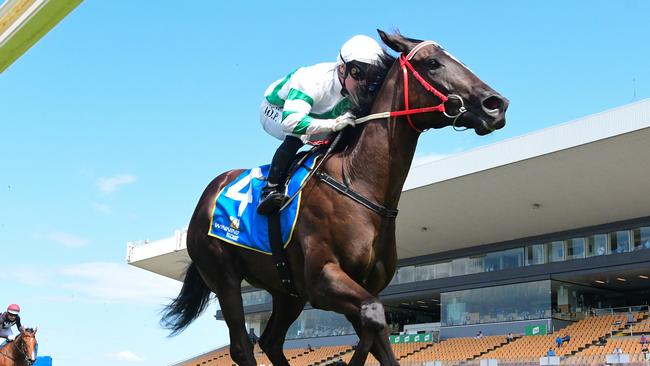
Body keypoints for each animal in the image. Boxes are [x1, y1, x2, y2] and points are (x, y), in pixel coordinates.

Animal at [161, 29, 506, 366]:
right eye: (433, 63)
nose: (496, 104)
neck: (358, 182)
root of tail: (207, 197)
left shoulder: (360, 286)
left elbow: (377, 330)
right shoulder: (322, 279)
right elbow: (374, 316)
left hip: (287, 292)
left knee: (271, 341)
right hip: (225, 276)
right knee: (242, 347)